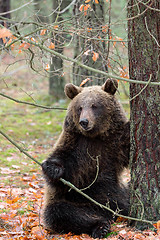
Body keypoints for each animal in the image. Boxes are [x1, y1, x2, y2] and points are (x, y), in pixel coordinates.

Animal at [42, 79, 129, 238]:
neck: (95, 136)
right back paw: (100, 226)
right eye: (80, 107)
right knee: (62, 213)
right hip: (76, 202)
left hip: (117, 193)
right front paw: (53, 169)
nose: (84, 121)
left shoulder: (114, 143)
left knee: (127, 200)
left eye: (95, 106)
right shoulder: (75, 146)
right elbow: (61, 168)